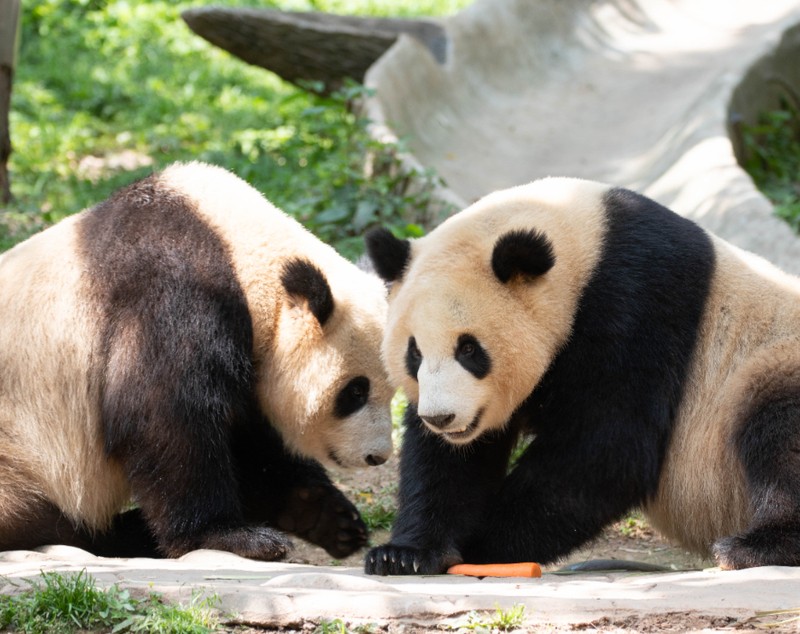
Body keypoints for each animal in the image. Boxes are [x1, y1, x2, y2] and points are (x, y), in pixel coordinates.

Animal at [0, 162, 394, 561]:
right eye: (355, 392)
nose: (377, 456)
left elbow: (251, 437)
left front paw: (327, 517)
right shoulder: (172, 294)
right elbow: (163, 414)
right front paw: (231, 536)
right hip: (18, 452)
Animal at [363, 177, 800, 575]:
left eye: (469, 349)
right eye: (414, 353)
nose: (441, 418)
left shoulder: (637, 300)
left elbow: (606, 444)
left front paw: (481, 547)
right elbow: (449, 462)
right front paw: (408, 554)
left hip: (768, 364)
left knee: (779, 434)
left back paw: (755, 548)